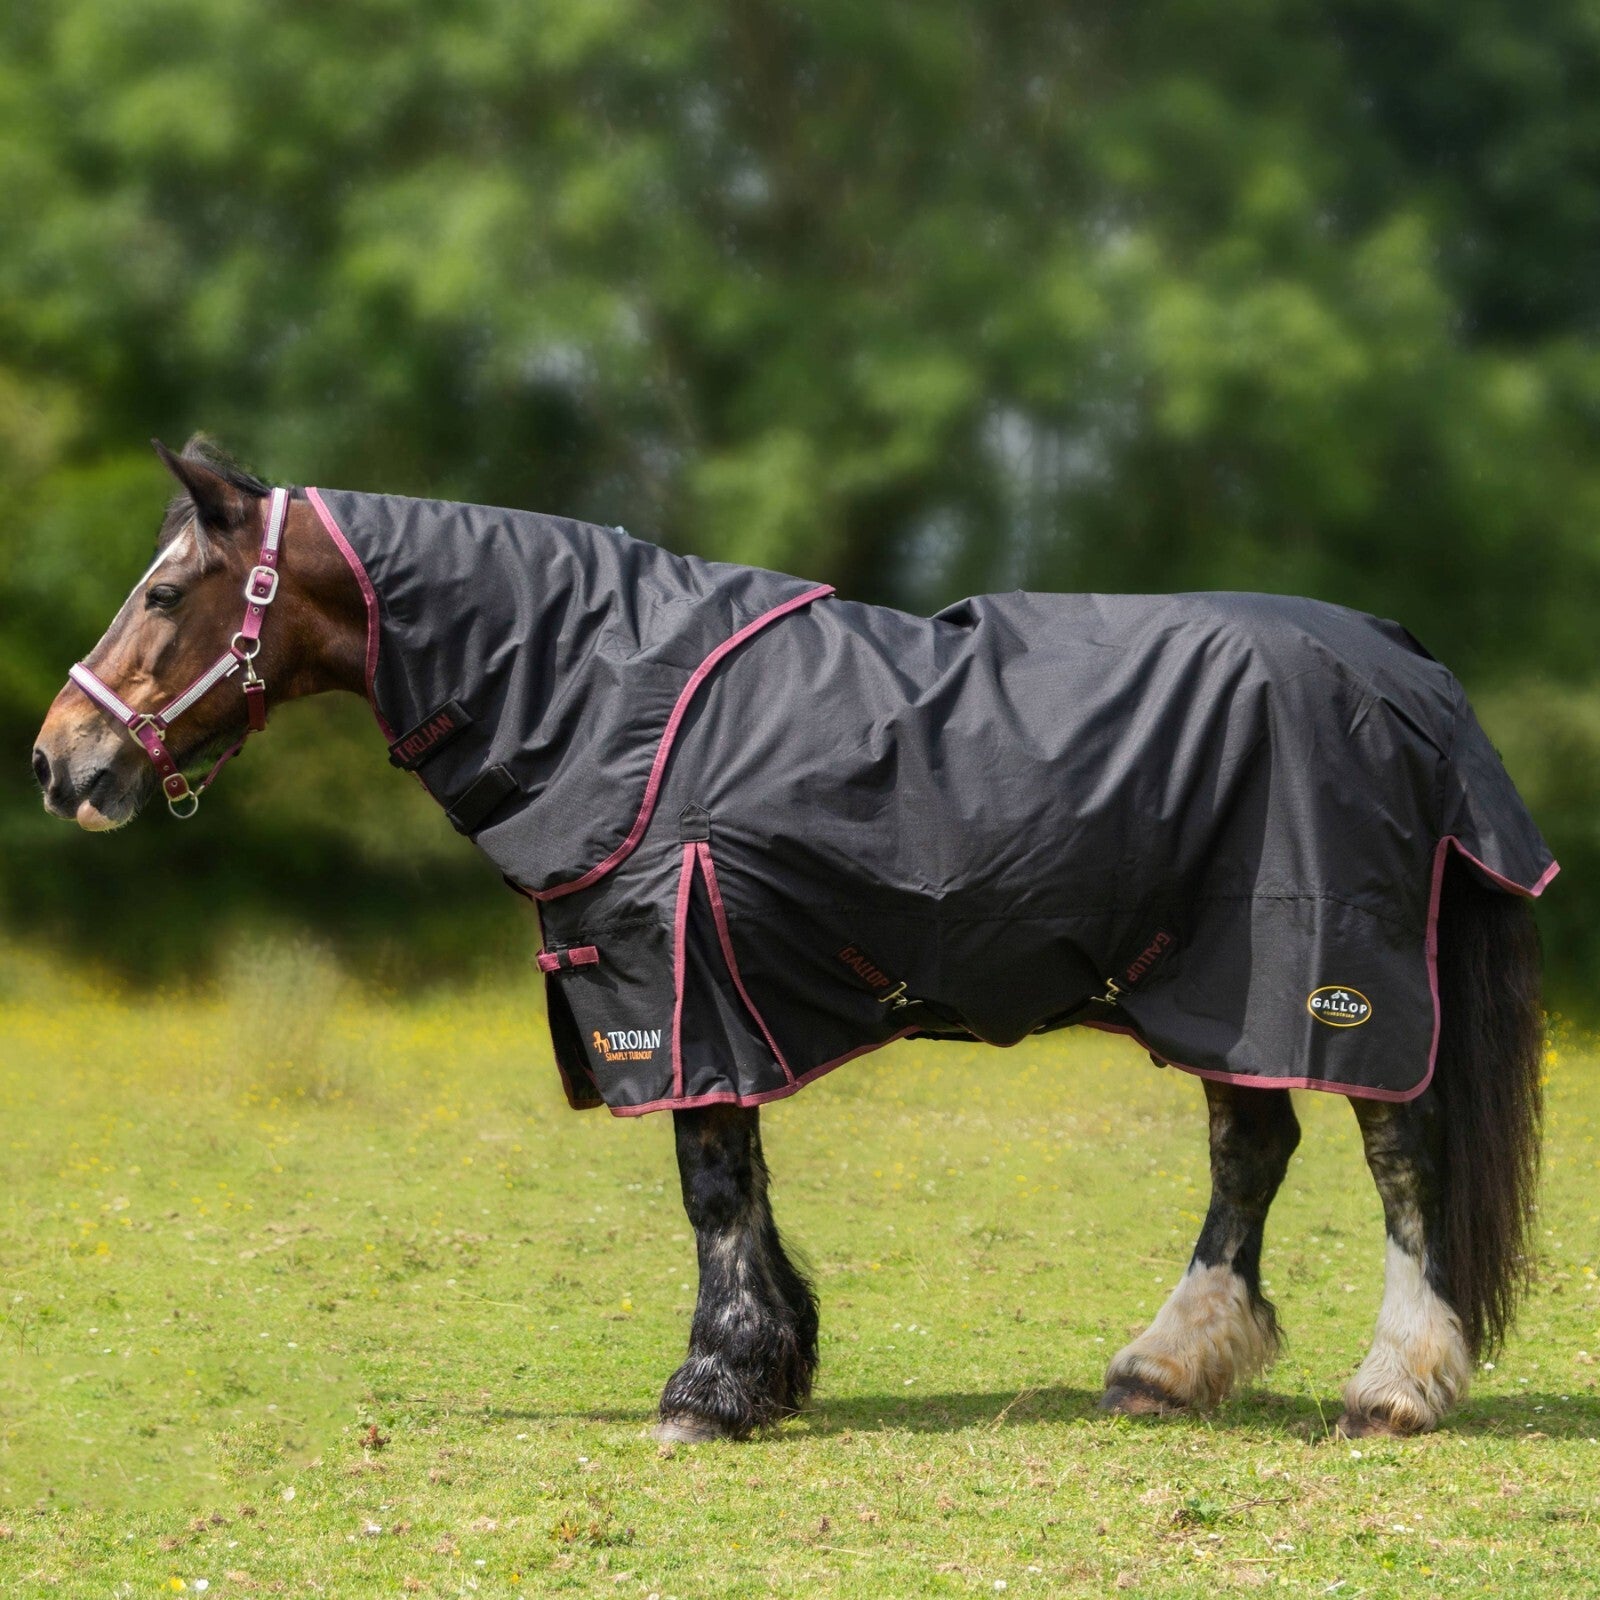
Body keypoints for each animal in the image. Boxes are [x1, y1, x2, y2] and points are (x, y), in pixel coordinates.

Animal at [31, 438, 1552, 1442]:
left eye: (164, 593)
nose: (59, 763)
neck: (601, 691)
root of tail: (1406, 667)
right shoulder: (710, 992)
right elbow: (740, 1185)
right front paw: (764, 1370)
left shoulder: (669, 981)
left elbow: (710, 1186)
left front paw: (709, 1389)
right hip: (1213, 980)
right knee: (1252, 1151)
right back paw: (1163, 1368)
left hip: (1335, 976)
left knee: (1399, 1158)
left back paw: (1394, 1388)